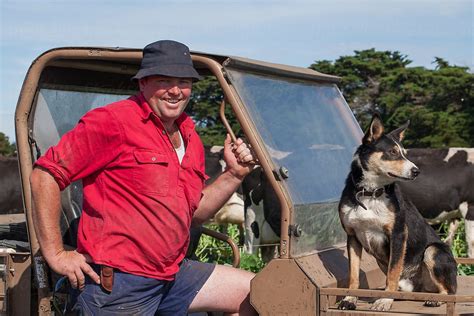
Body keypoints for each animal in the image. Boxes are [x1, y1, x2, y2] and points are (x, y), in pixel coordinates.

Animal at [336, 113, 456, 312]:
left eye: (404, 153)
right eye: (392, 152)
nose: (416, 171)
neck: (371, 193)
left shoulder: (398, 234)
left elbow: (392, 272)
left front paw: (384, 300)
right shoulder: (352, 236)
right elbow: (353, 275)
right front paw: (349, 299)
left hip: (433, 251)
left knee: (450, 291)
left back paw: (435, 299)